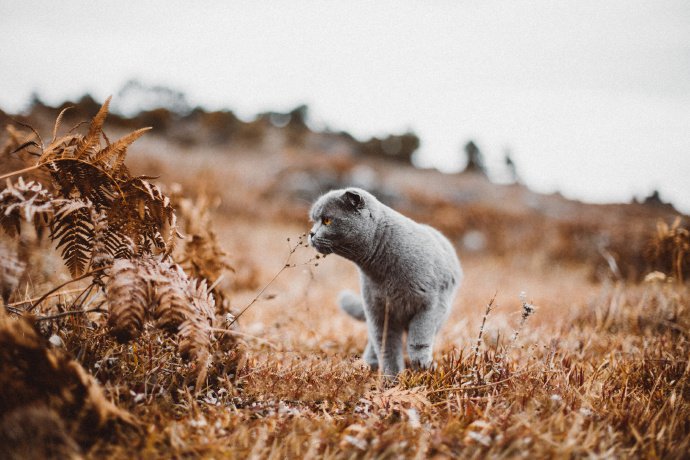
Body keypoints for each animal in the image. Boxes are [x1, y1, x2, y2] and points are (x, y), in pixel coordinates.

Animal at [308, 187, 462, 378]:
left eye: (327, 220)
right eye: (314, 221)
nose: (311, 233)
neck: (383, 271)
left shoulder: (430, 305)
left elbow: (419, 338)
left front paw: (422, 366)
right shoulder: (378, 312)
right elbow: (387, 348)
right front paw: (392, 378)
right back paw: (367, 364)